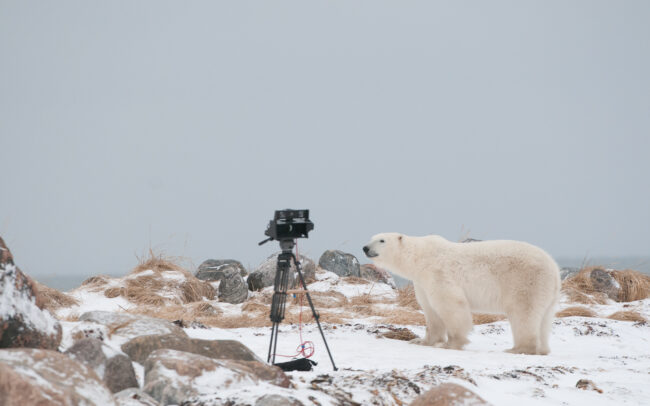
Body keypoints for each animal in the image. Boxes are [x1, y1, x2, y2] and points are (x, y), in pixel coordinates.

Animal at [363, 233, 560, 355]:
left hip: (525, 281)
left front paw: (451, 344)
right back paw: (543, 349)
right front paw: (422, 341)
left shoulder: (438, 273)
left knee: (523, 313)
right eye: (372, 238)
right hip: (547, 292)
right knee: (544, 318)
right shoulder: (422, 283)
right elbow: (430, 312)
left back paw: (518, 348)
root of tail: (554, 269)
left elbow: (450, 305)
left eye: (381, 240)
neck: (420, 257)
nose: (365, 247)